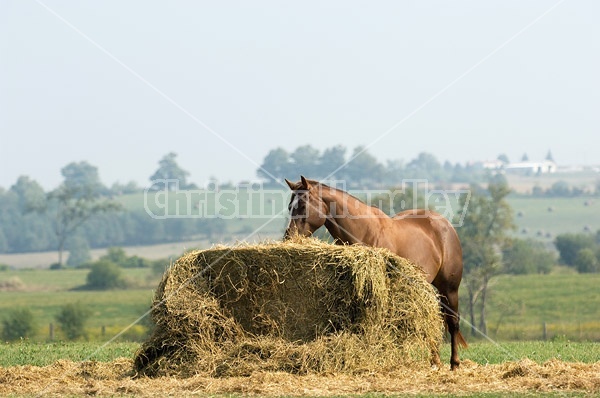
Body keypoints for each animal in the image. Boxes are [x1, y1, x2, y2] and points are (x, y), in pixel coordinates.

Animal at [284, 177, 466, 370]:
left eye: (303, 206)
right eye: (290, 207)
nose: (289, 237)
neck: (364, 231)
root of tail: (445, 225)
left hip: (450, 289)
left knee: (453, 322)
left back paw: (454, 363)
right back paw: (435, 361)